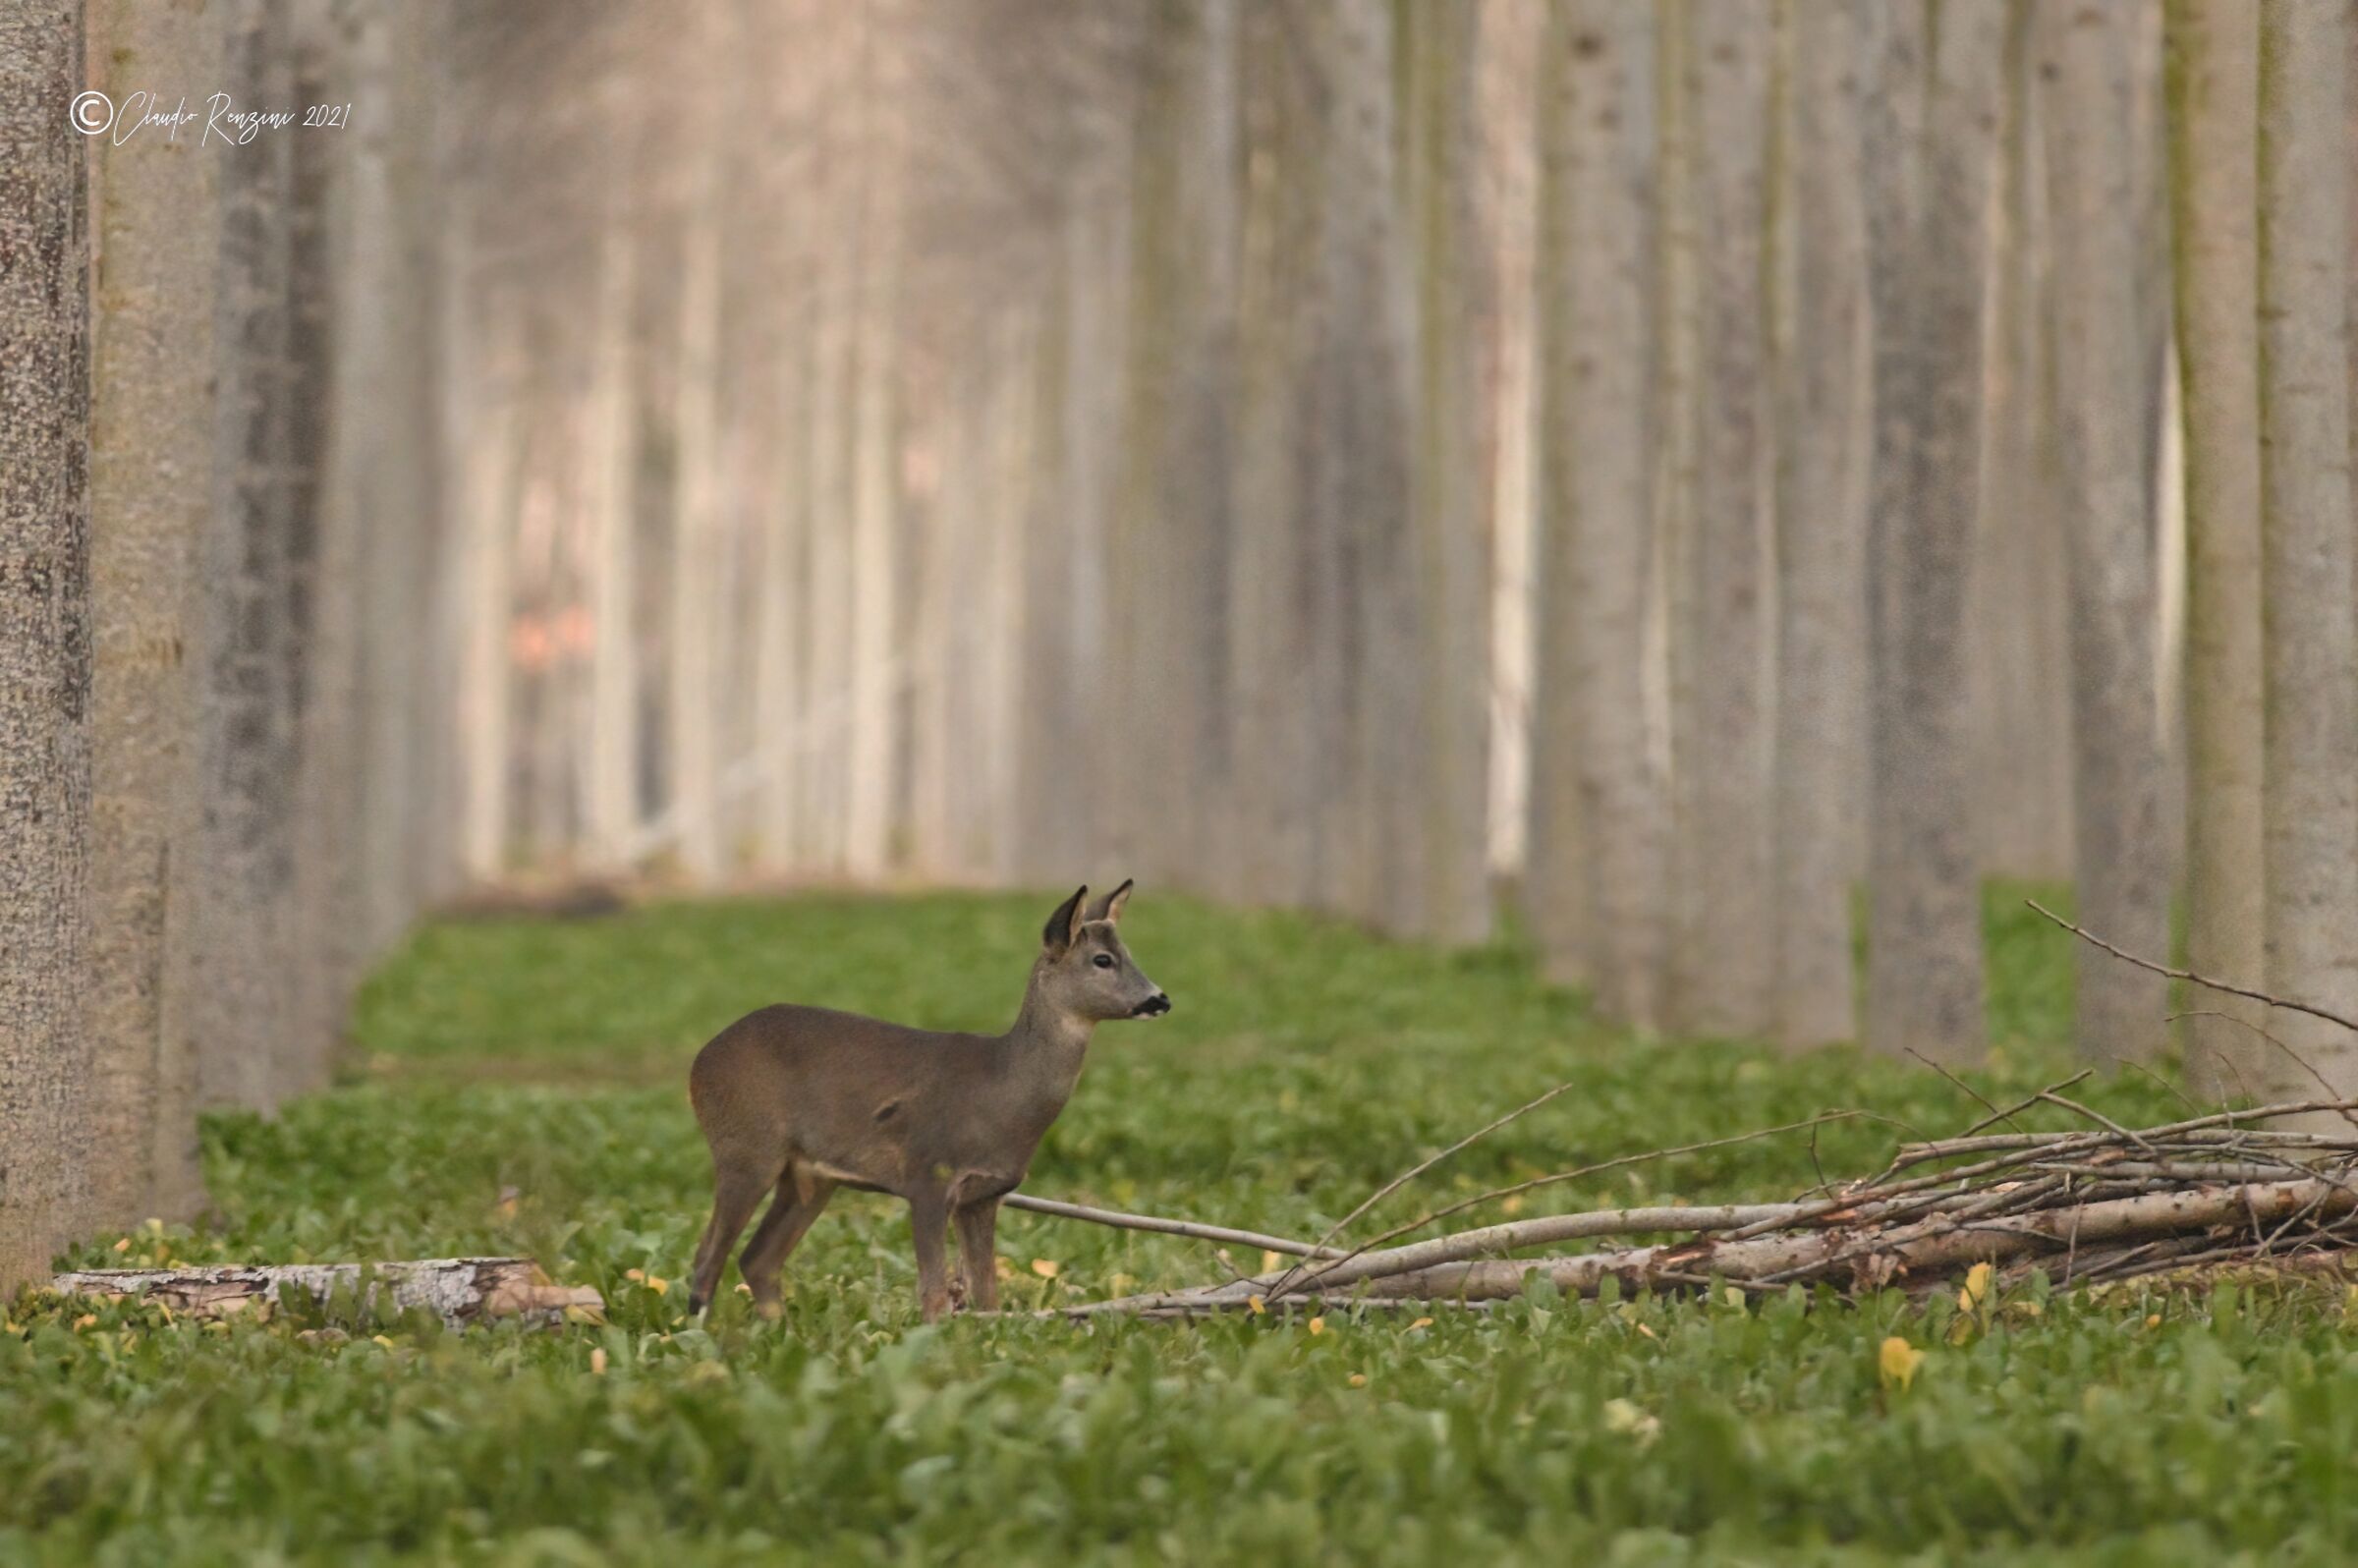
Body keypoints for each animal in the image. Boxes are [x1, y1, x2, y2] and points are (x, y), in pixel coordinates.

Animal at [685, 881, 1170, 1322]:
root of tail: (699, 1061)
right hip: (747, 1148)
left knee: (757, 1259)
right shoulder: (928, 1177)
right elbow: (934, 1295)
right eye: (1102, 959)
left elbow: (987, 1297)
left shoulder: (984, 1195)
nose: (1160, 999)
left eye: (1129, 953)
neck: (1002, 1088)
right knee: (706, 1260)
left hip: (809, 1176)